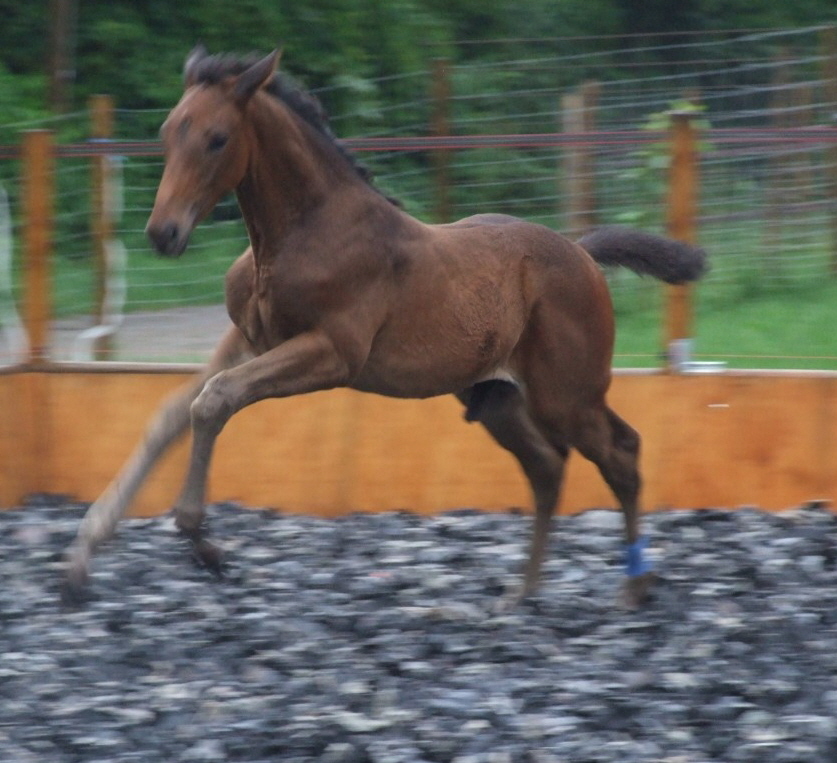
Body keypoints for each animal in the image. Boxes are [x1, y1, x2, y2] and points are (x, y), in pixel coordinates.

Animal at [65, 46, 704, 608]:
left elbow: (214, 401)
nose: (162, 233)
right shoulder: (248, 339)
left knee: (622, 452)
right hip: (496, 397)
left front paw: (202, 541)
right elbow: (173, 413)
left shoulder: (332, 352)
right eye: (168, 132)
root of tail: (582, 254)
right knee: (547, 467)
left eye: (217, 138)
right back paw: (521, 593)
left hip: (566, 395)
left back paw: (634, 587)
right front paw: (82, 555)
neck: (298, 233)